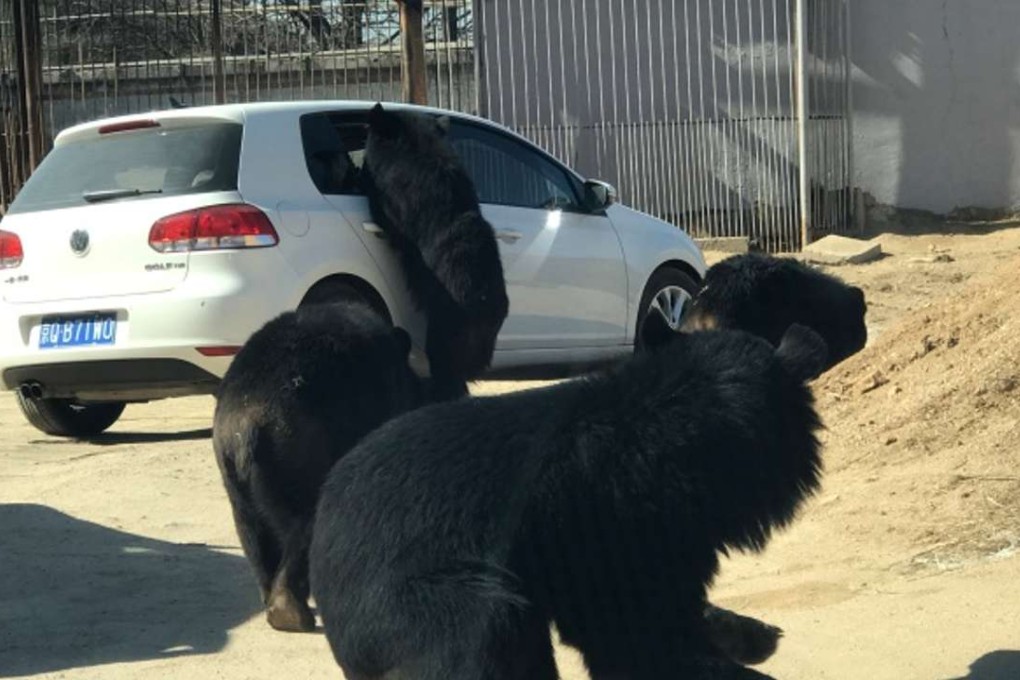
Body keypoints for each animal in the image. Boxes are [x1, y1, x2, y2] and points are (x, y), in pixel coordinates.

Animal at [213, 300, 435, 633]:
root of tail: (245, 424)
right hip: (297, 453)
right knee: (305, 521)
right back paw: (291, 610)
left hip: (232, 472)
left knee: (251, 530)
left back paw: (273, 600)